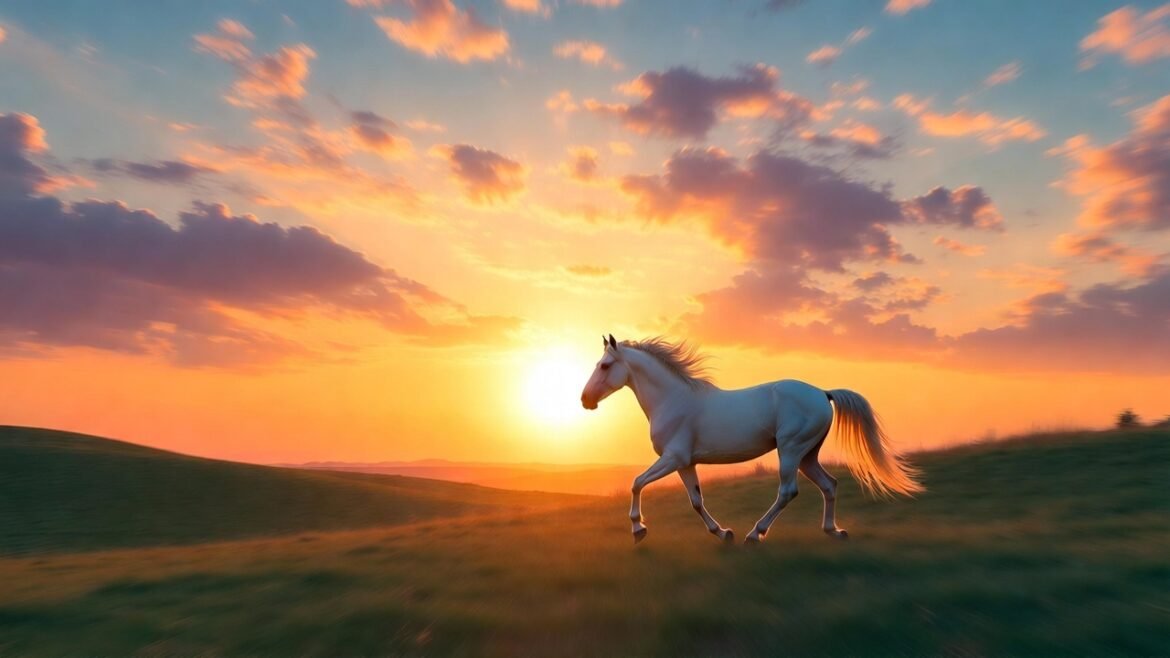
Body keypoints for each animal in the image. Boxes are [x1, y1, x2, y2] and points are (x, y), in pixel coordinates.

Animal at [580, 335, 923, 545]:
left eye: (605, 366)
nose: (585, 400)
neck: (673, 400)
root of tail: (822, 393)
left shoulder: (673, 458)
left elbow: (637, 482)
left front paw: (638, 529)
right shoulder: (685, 462)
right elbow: (696, 500)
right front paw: (723, 533)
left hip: (791, 450)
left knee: (788, 491)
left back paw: (756, 534)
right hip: (808, 455)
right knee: (829, 485)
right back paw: (834, 531)